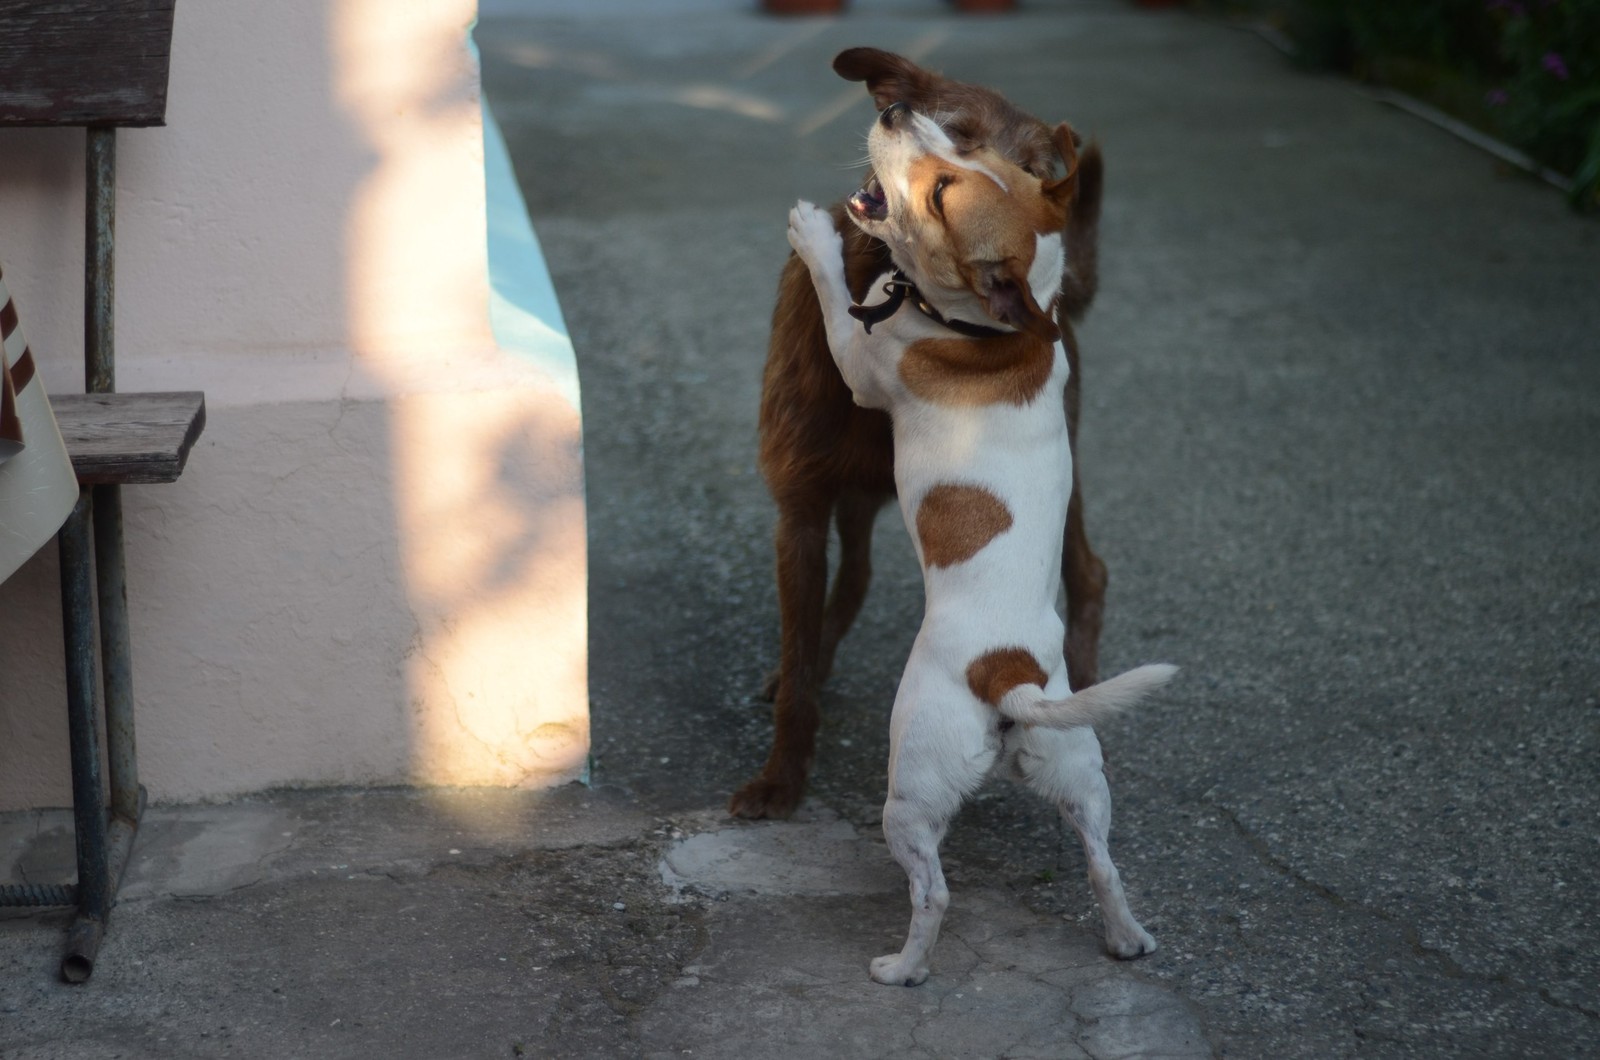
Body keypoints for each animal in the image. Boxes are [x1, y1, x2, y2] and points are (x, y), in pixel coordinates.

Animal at [732, 49, 1107, 819]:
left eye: (1031, 168)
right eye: (957, 133)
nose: (897, 113)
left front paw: (782, 778)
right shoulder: (802, 503)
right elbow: (802, 635)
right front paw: (785, 760)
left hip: (1065, 477)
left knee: (1088, 572)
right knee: (854, 578)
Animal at [787, 104, 1177, 992]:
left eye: (939, 190)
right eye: (959, 146)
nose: (895, 110)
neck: (988, 328)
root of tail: (1011, 677)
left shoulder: (859, 363)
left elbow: (835, 293)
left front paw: (814, 234)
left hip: (912, 790)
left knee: (933, 892)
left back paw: (902, 968)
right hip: (1080, 773)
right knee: (1104, 864)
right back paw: (1126, 939)